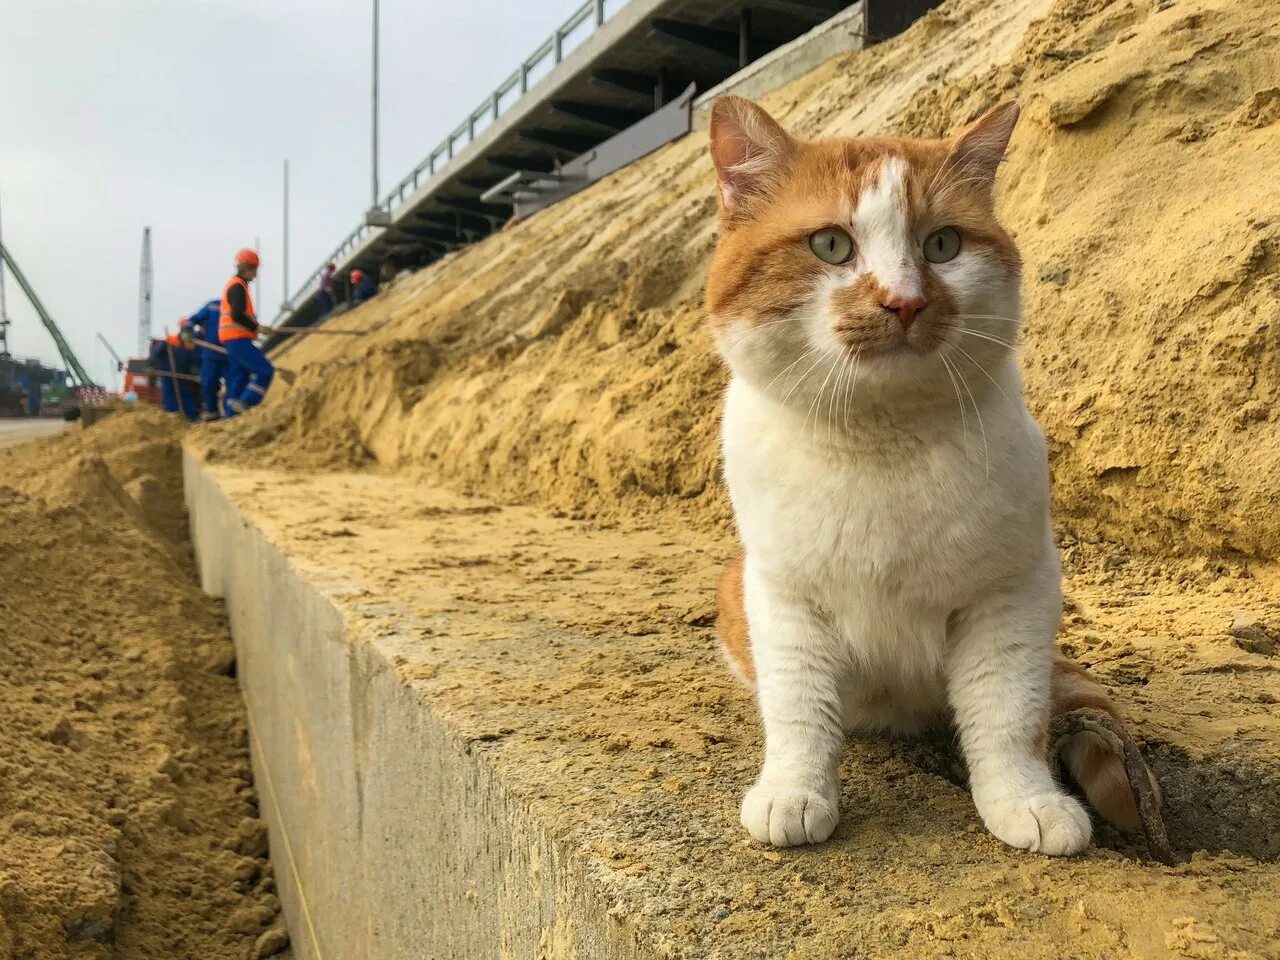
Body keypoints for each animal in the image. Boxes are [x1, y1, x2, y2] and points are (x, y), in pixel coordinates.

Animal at [711, 94, 1141, 855]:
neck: (881, 442)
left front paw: (1025, 800)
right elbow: (798, 706)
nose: (905, 301)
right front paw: (795, 791)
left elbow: (1007, 712)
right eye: (830, 245)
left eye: (943, 245)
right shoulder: (783, 596)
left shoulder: (1012, 593)